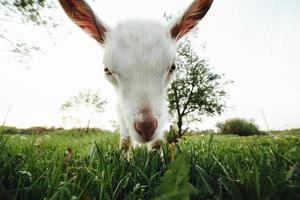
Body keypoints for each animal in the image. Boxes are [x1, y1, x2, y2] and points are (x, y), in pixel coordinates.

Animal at [58, 0, 213, 150]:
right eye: (106, 70)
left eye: (172, 67)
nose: (146, 127)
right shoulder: (122, 113)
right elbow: (125, 141)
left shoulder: (162, 112)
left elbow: (157, 143)